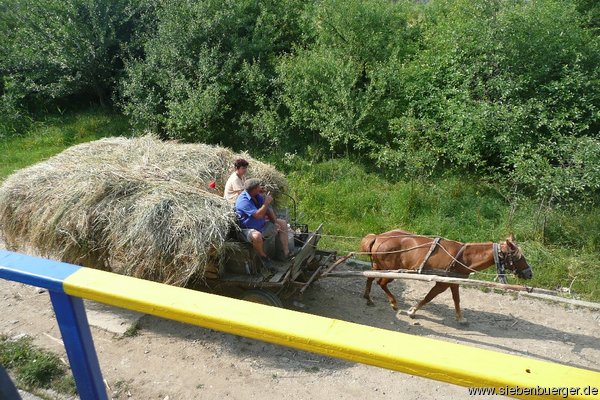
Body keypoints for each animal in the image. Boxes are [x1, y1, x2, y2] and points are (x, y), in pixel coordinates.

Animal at [358, 230, 532, 324]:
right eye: (518, 257)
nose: (530, 273)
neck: (463, 257)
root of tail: (378, 237)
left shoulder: (453, 281)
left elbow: (456, 299)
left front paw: (460, 318)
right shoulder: (442, 282)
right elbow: (429, 297)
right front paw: (412, 311)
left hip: (378, 266)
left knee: (370, 277)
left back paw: (368, 298)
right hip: (390, 271)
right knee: (381, 282)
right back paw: (393, 303)